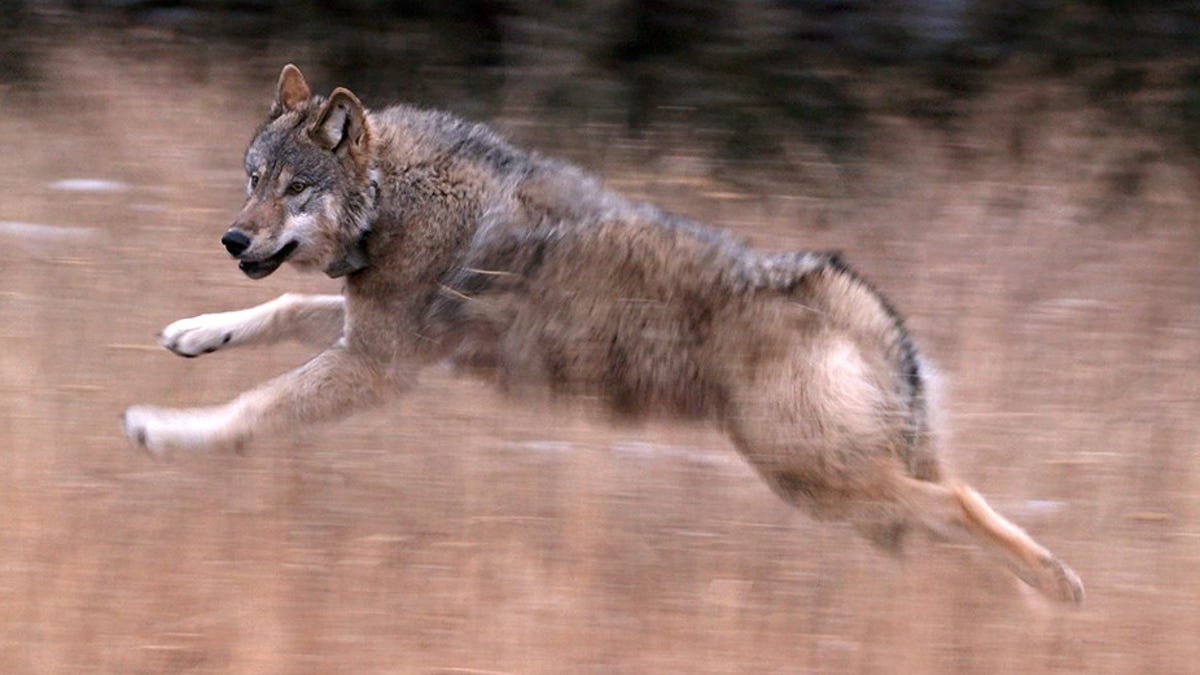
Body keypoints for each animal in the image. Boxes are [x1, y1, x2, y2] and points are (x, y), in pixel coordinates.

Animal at [122, 64, 1083, 604]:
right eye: (252, 179)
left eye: (294, 189)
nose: (232, 239)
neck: (395, 196)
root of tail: (844, 289)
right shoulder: (370, 332)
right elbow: (278, 313)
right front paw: (194, 333)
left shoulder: (378, 365)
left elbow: (253, 409)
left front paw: (164, 431)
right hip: (845, 492)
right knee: (945, 514)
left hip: (816, 479)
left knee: (962, 503)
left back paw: (1058, 588)